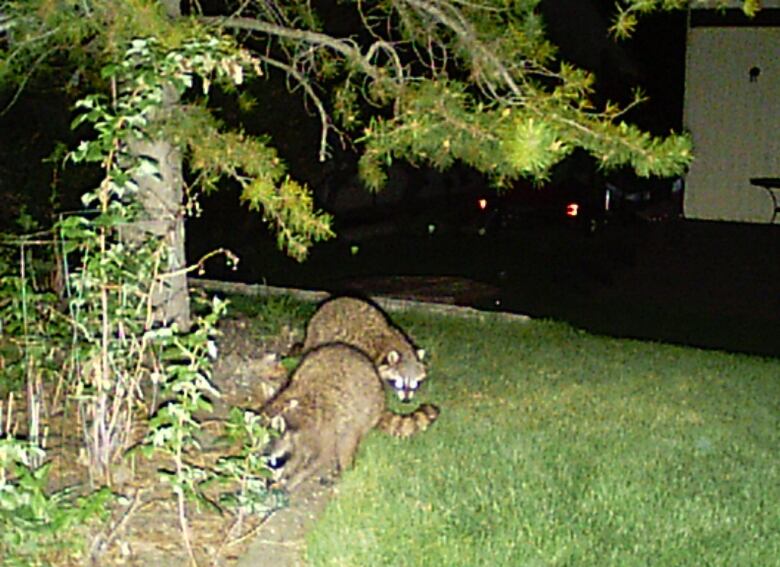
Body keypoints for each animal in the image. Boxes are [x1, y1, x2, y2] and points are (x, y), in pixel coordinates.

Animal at [264, 344, 438, 490]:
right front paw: (288, 472)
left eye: (276, 462)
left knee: (346, 441)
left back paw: (343, 470)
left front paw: (295, 478)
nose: (269, 480)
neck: (290, 419)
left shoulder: (321, 428)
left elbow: (323, 456)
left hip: (364, 412)